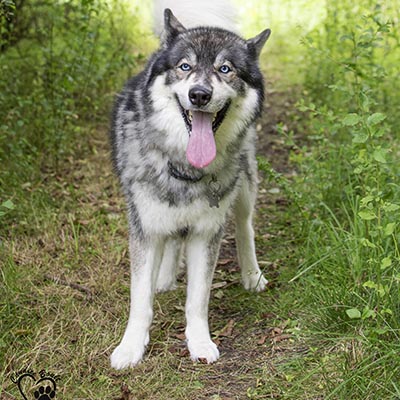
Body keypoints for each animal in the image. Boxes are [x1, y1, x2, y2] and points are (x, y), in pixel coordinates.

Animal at [109, 0, 270, 370]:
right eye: (185, 66)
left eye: (225, 69)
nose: (199, 94)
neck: (184, 165)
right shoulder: (145, 228)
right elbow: (140, 299)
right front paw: (131, 348)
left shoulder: (206, 233)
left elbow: (197, 299)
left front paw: (199, 343)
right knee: (171, 239)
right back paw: (165, 276)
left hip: (243, 189)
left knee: (245, 226)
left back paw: (251, 274)